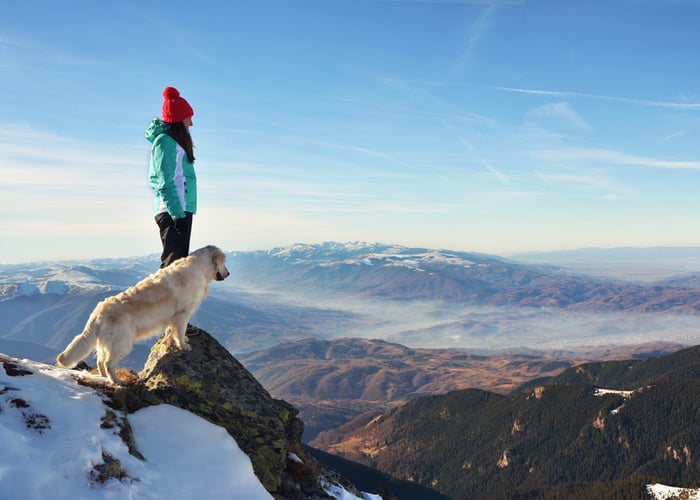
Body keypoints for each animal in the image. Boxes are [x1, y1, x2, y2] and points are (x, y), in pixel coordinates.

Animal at [56, 244, 230, 384]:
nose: (228, 273)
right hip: (122, 342)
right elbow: (180, 331)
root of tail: (98, 312)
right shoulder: (183, 313)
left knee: (100, 361)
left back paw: (105, 378)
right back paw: (118, 381)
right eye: (224, 262)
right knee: (108, 363)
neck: (199, 268)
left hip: (106, 343)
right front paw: (183, 345)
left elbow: (173, 331)